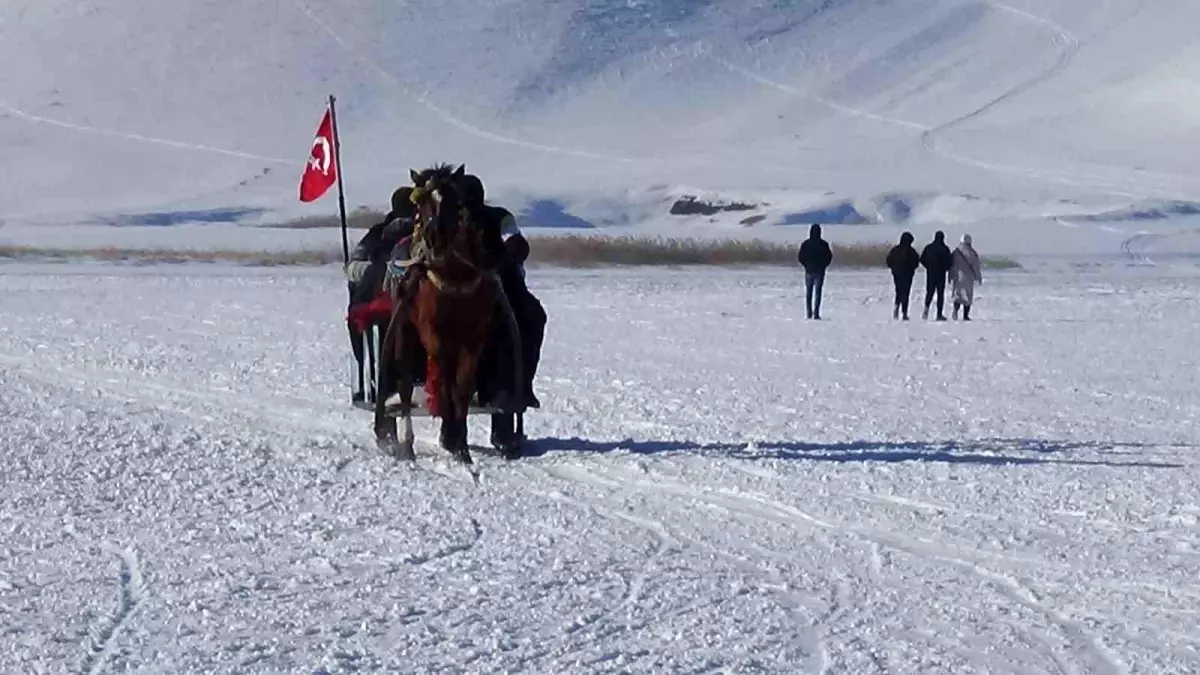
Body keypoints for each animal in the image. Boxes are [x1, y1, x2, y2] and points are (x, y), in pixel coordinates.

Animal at [369, 163, 492, 461]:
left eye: (454, 202)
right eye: (421, 204)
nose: (435, 240)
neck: (455, 278)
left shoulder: (473, 339)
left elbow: (462, 390)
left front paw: (461, 445)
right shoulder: (435, 336)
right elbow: (446, 387)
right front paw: (452, 437)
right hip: (404, 328)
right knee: (403, 384)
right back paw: (407, 443)